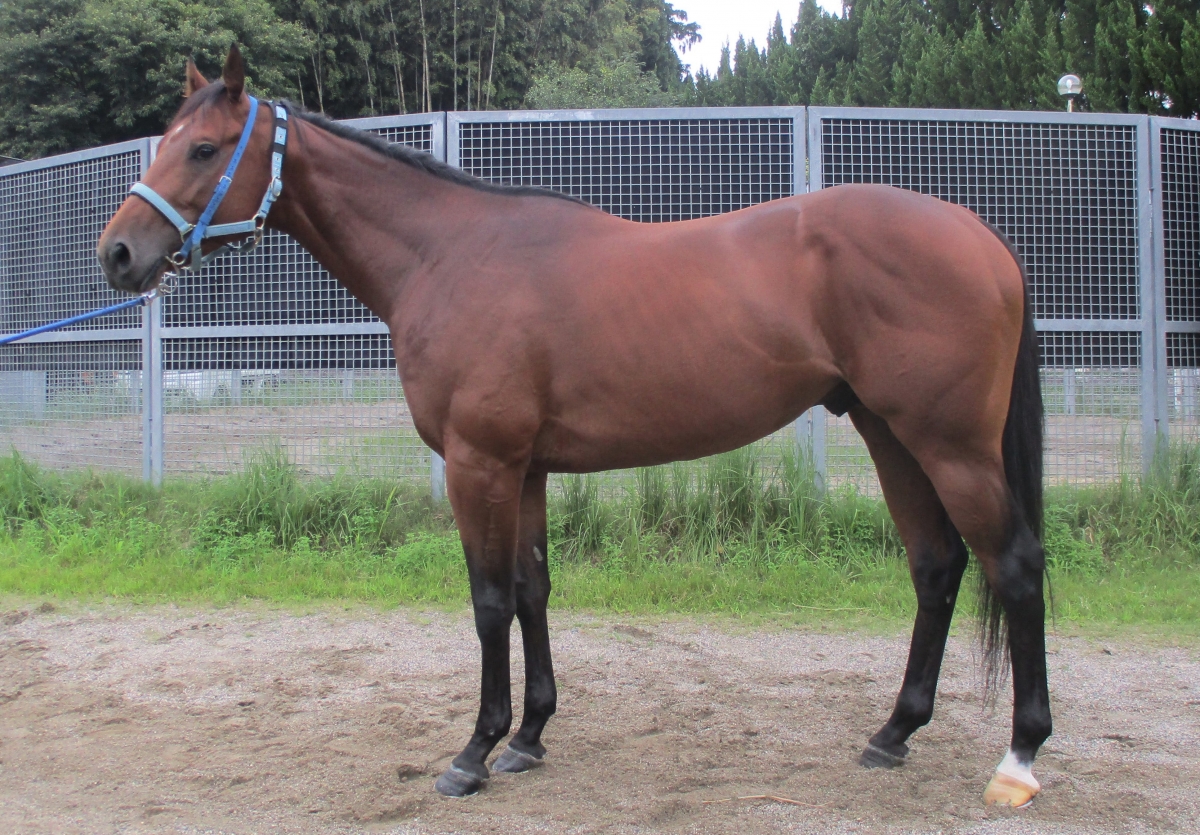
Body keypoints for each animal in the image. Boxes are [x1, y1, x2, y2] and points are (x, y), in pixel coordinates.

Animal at [97, 46, 1050, 807]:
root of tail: (981, 237)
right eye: (167, 141)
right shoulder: (524, 469)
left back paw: (1019, 756)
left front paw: (474, 751)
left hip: (949, 445)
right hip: (891, 435)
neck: (449, 256)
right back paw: (893, 733)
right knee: (937, 567)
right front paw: (529, 737)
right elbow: (532, 590)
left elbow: (487, 601)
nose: (117, 254)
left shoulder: (478, 464)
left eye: (205, 148)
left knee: (1013, 565)